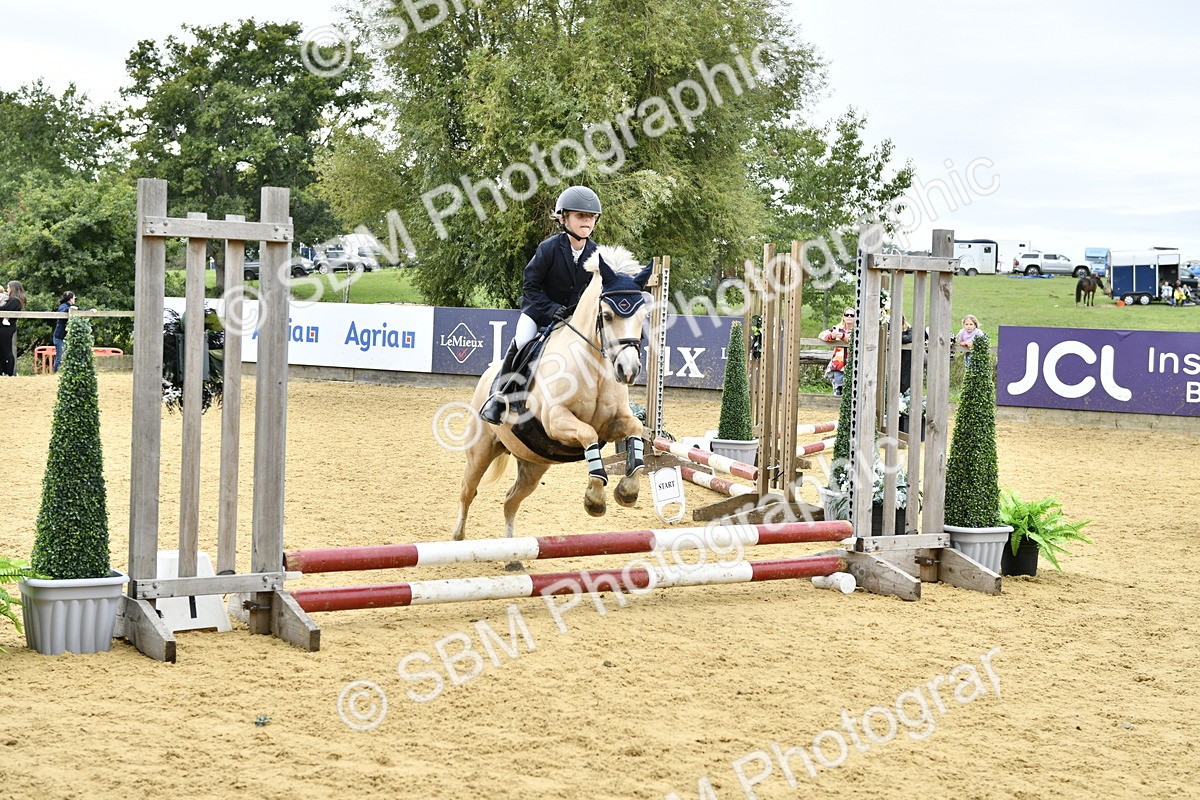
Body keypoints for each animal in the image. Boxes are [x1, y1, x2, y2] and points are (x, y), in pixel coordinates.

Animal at [451, 246, 653, 546]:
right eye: (607, 316)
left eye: (643, 318)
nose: (628, 371)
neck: (592, 366)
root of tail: (487, 375)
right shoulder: (556, 421)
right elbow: (587, 434)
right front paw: (595, 499)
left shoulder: (613, 423)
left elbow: (636, 429)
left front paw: (627, 491)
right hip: (481, 451)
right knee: (467, 490)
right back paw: (457, 537)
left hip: (533, 463)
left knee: (510, 501)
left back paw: (512, 551)